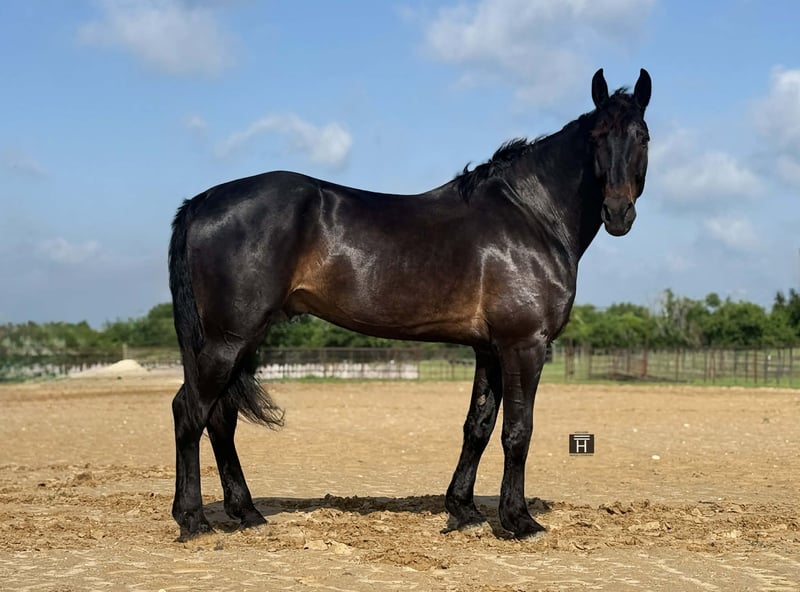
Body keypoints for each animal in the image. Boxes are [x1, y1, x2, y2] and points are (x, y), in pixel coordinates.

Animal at [168, 68, 652, 541]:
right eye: (597, 138)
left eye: (643, 136)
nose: (618, 213)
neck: (530, 216)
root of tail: (201, 202)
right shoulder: (524, 344)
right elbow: (518, 430)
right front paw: (518, 521)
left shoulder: (489, 348)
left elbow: (477, 426)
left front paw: (464, 510)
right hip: (228, 340)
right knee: (191, 412)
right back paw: (193, 520)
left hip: (239, 341)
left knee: (220, 417)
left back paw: (246, 512)